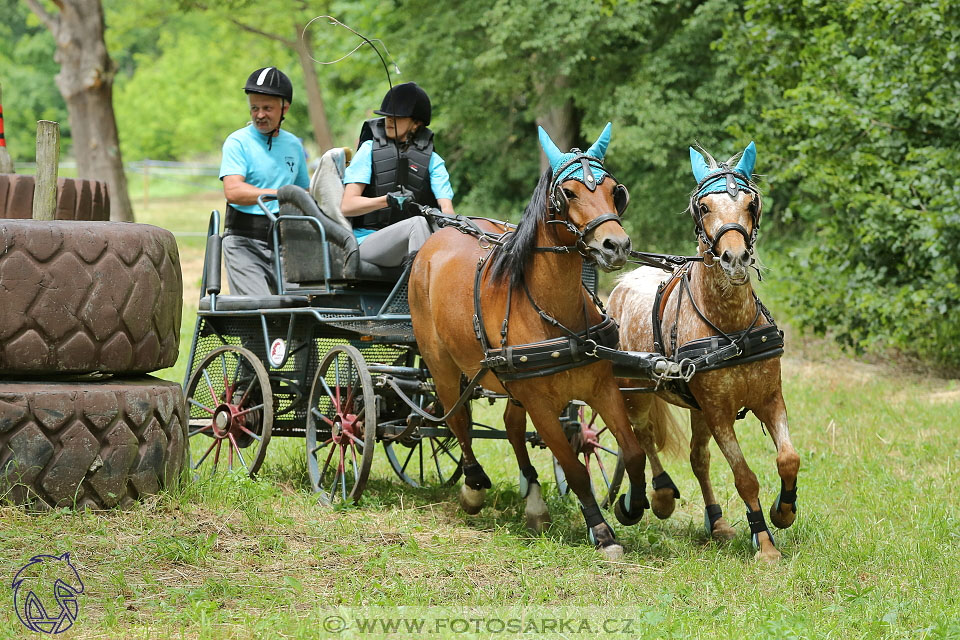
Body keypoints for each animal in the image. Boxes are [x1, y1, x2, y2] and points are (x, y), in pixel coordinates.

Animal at [406, 122, 644, 556]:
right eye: (569, 193)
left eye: (614, 189)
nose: (615, 245)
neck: (556, 315)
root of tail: (436, 239)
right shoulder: (541, 404)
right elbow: (574, 469)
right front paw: (602, 533)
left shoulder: (601, 387)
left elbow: (633, 454)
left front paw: (631, 506)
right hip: (441, 363)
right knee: (458, 421)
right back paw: (473, 486)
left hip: (510, 382)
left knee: (511, 427)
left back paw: (533, 499)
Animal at [612, 141, 800, 560]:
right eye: (704, 206)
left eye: (751, 203)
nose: (735, 258)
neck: (730, 328)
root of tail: (623, 282)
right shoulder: (718, 414)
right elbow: (745, 477)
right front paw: (764, 543)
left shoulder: (770, 398)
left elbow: (788, 458)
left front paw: (783, 511)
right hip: (634, 392)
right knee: (642, 437)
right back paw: (659, 495)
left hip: (695, 406)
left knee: (698, 459)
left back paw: (717, 523)